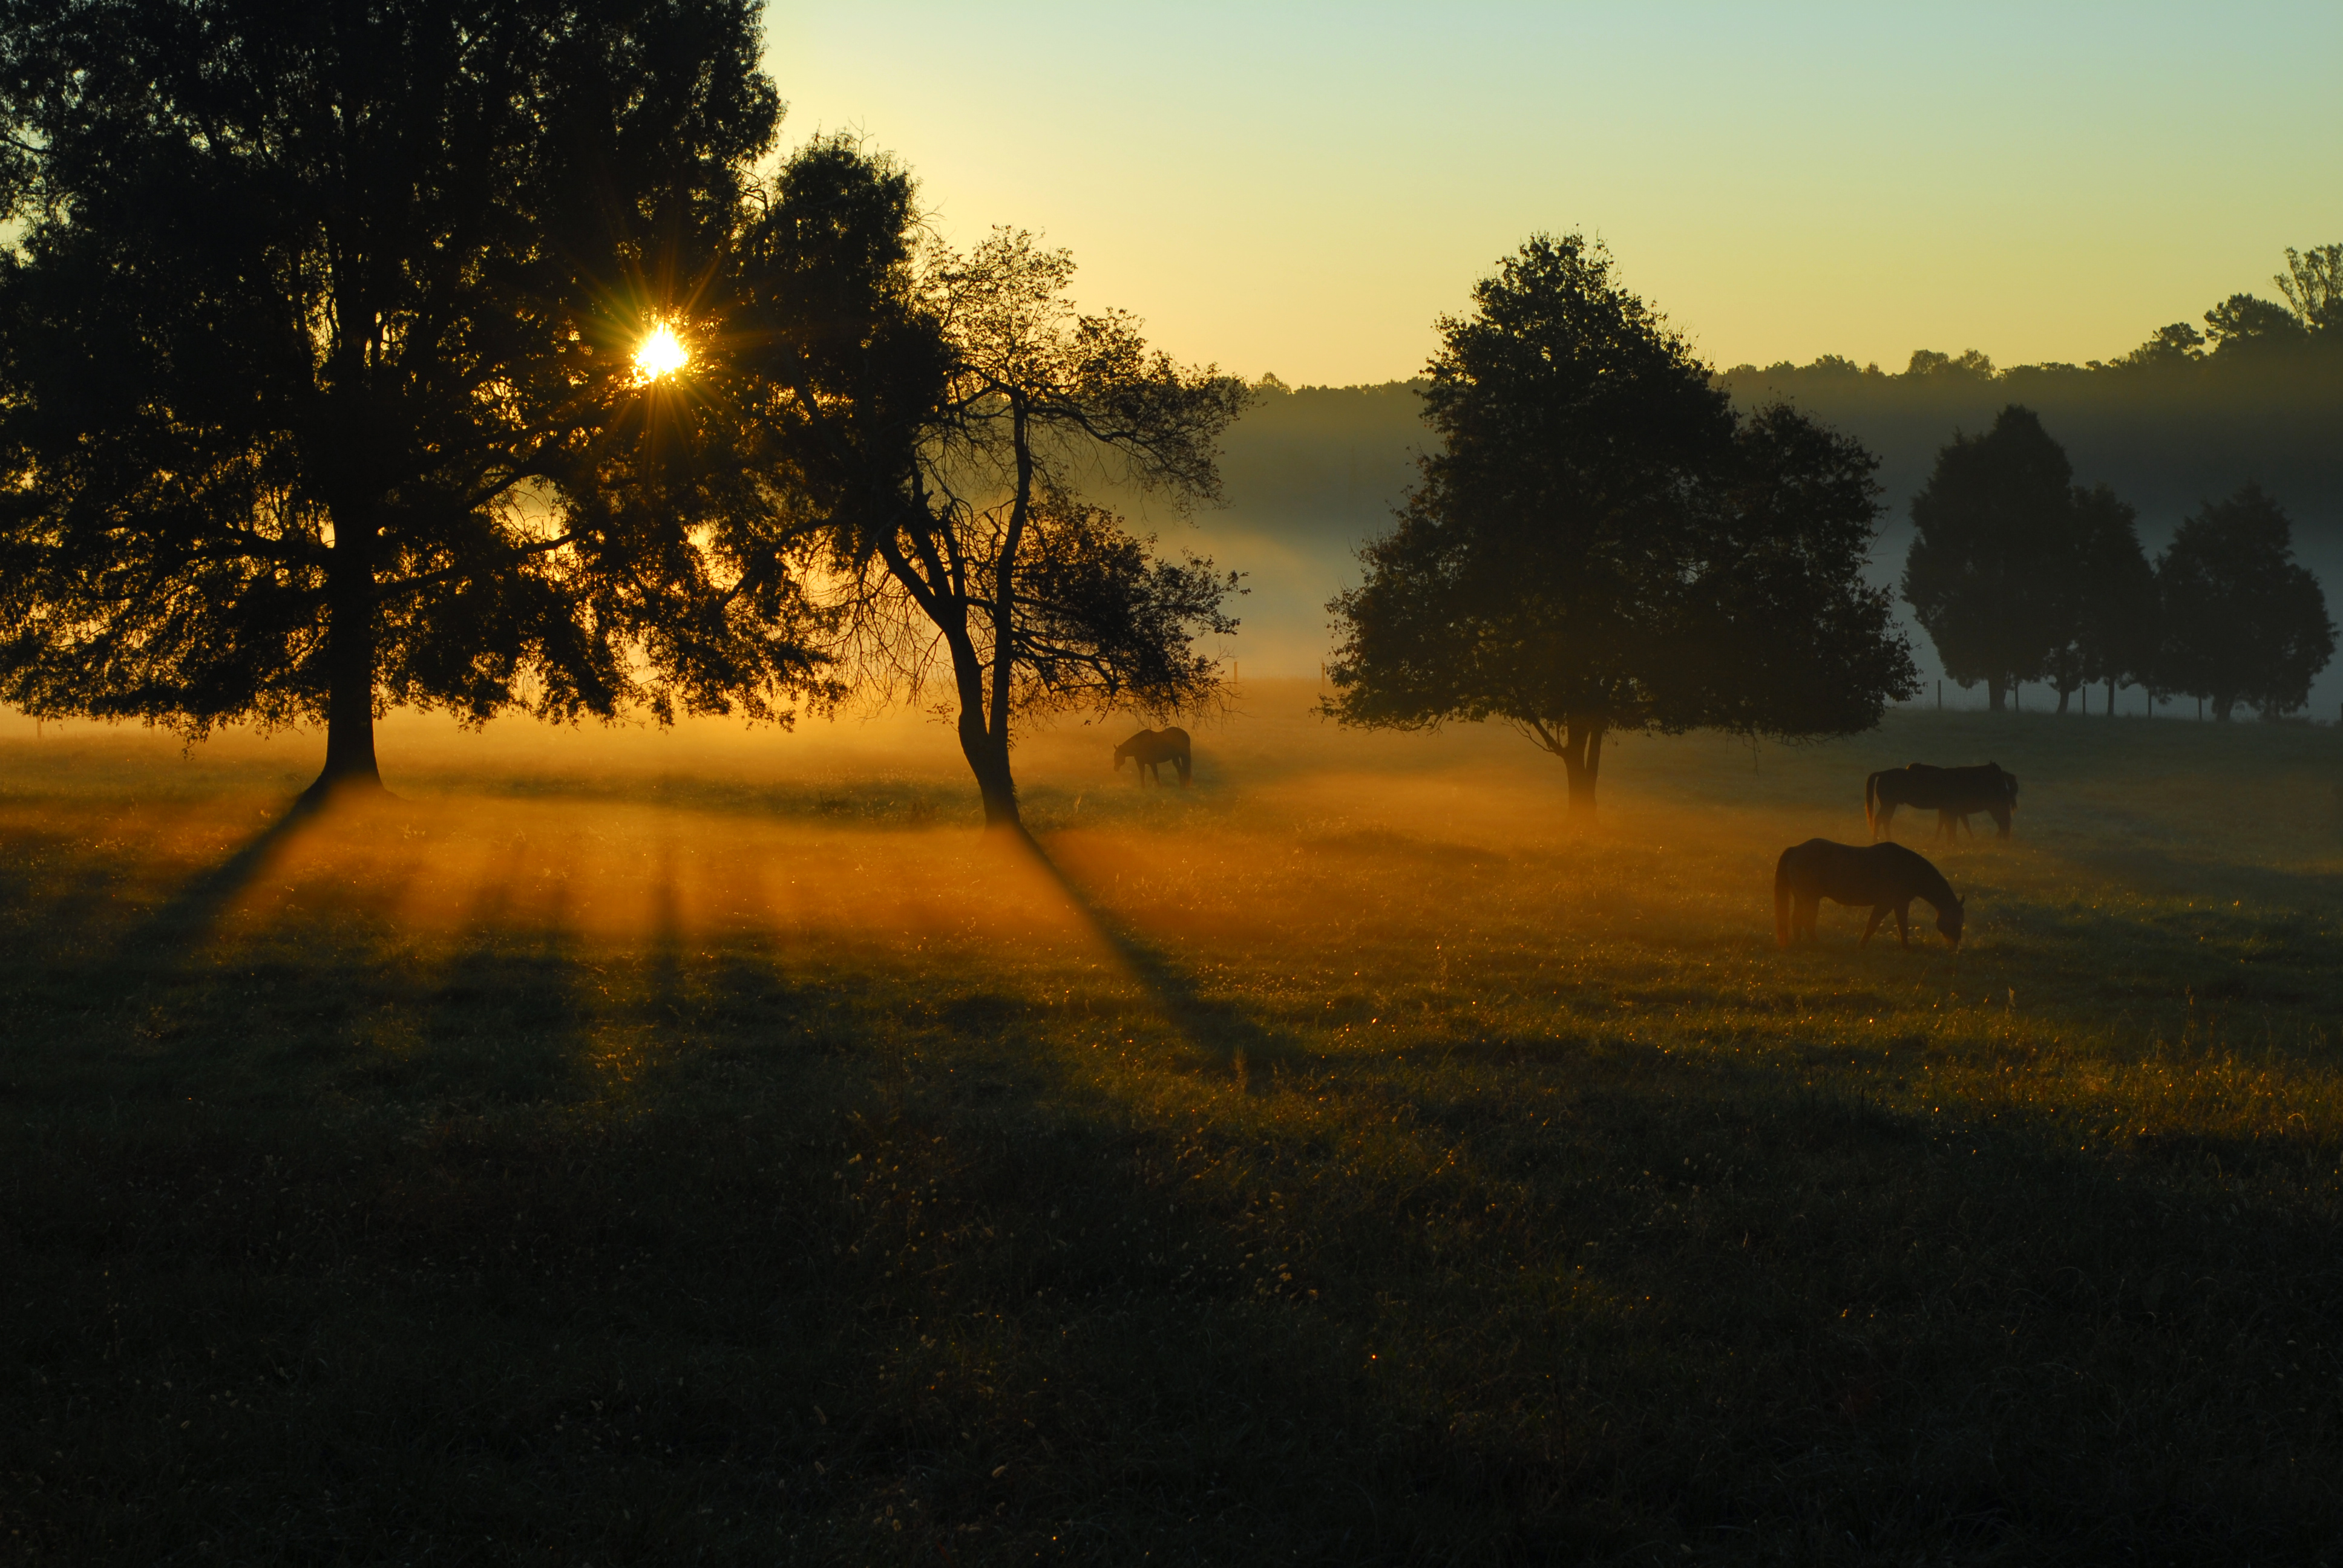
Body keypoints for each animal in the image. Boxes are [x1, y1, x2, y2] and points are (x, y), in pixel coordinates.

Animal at [1110, 727, 1190, 787]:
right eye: (1114, 755)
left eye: (1118, 756)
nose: (1115, 768)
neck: (1139, 745)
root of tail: (1185, 734)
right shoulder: (1140, 764)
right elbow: (1142, 776)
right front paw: (1143, 788)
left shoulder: (1153, 763)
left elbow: (1156, 776)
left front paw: (1160, 788)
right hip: (1175, 757)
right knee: (1181, 770)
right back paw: (1182, 787)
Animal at [1771, 839, 1958, 947]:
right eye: (1958, 920)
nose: (1955, 947)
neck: (1907, 867)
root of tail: (1795, 850)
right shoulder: (1885, 904)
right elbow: (1872, 925)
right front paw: (1861, 946)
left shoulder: (1901, 904)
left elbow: (1903, 927)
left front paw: (1907, 948)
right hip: (1810, 899)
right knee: (1807, 921)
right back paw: (1817, 944)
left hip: (1800, 898)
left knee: (1796, 919)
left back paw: (1799, 943)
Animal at [1865, 759, 2014, 839]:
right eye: (1997, 779)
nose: (2007, 797)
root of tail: (1883, 773)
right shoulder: (1952, 811)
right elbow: (1951, 828)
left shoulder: (1951, 811)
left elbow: (1949, 827)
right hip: (1888, 804)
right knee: (1880, 820)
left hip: (1891, 805)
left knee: (1885, 821)